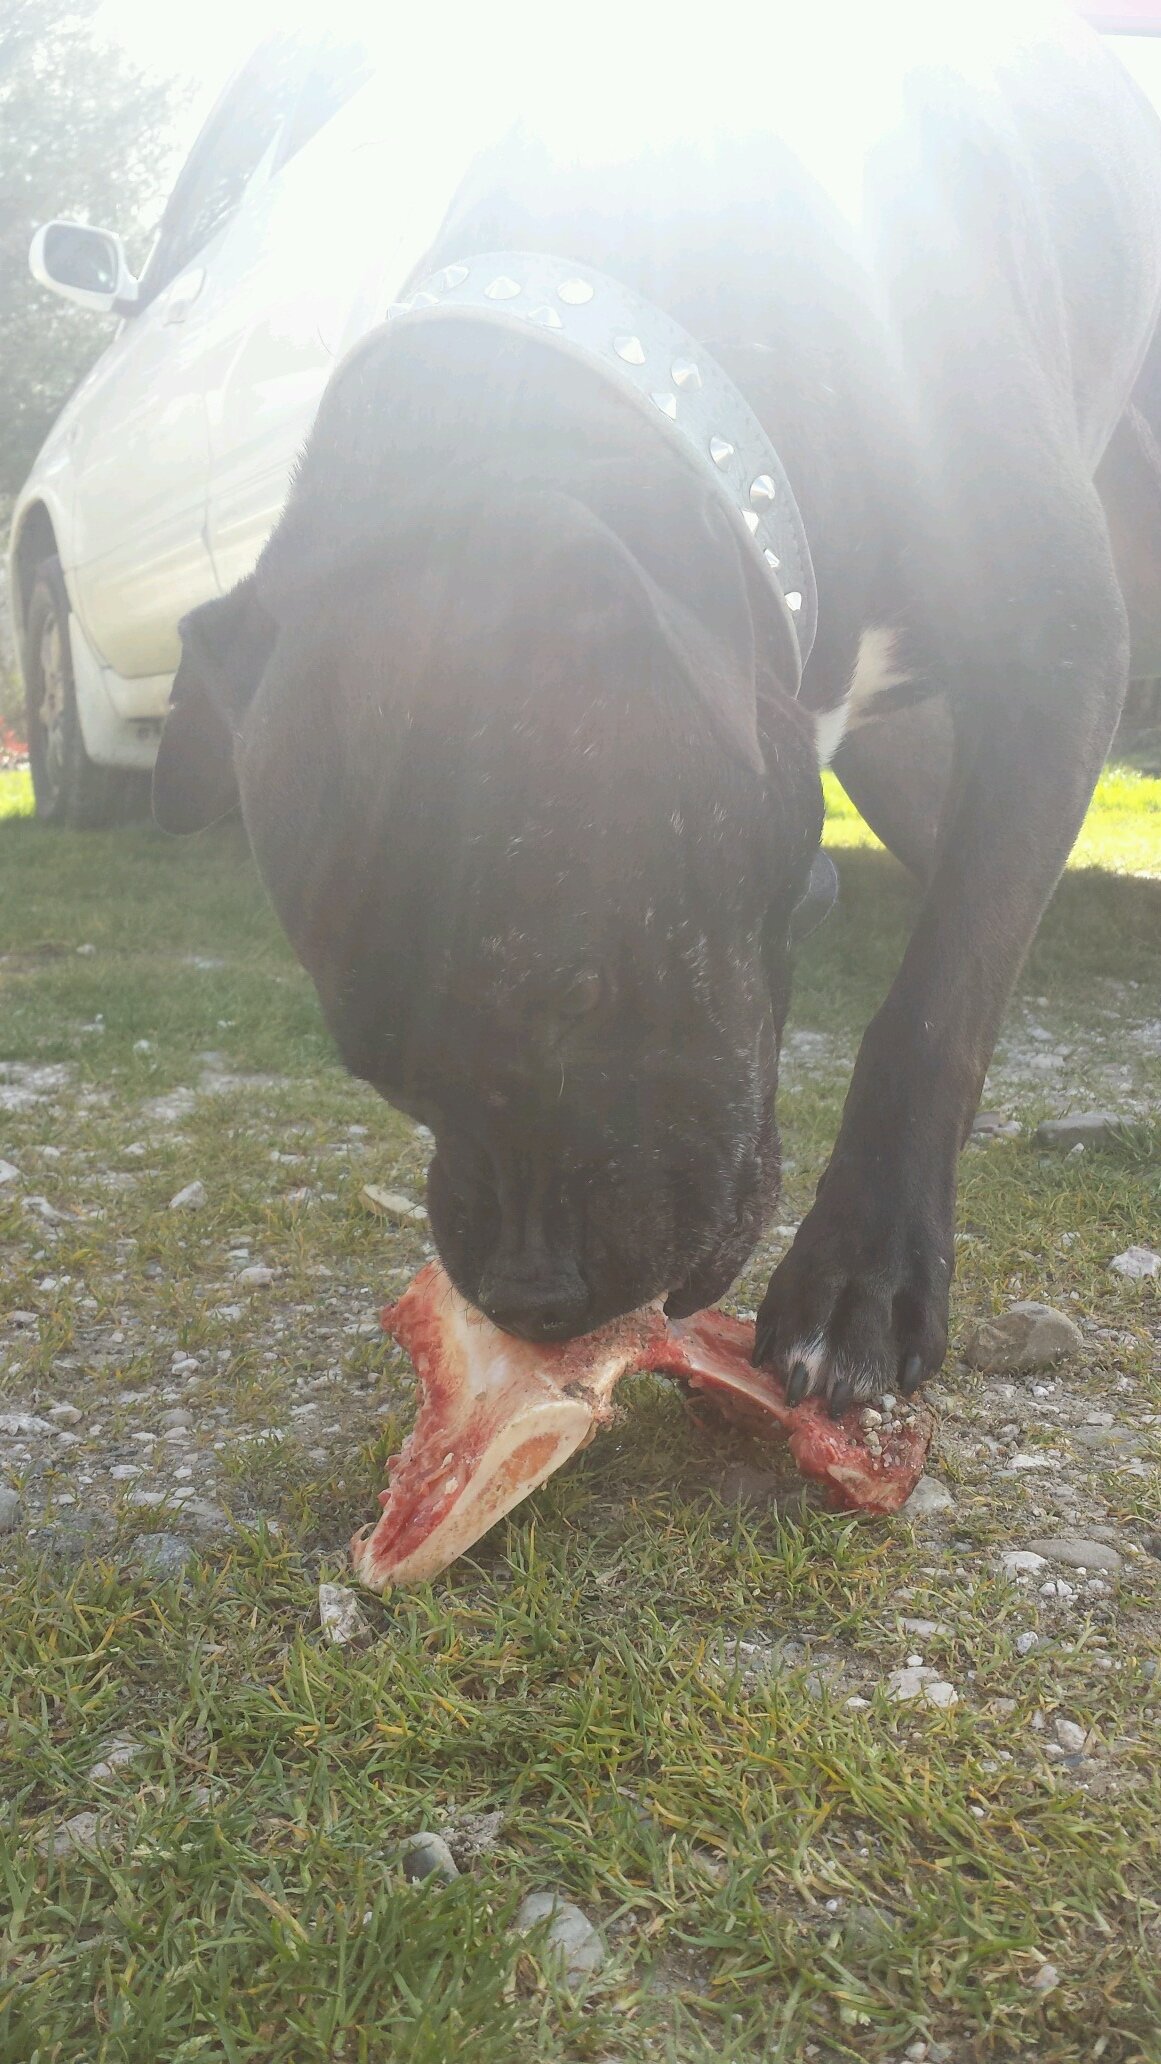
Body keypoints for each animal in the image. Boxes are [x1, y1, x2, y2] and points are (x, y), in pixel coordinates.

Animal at [151, 8, 1156, 1411]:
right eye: (375, 1067)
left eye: (579, 990)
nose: (528, 1296)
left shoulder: (1058, 658)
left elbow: (938, 1003)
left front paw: (862, 1279)